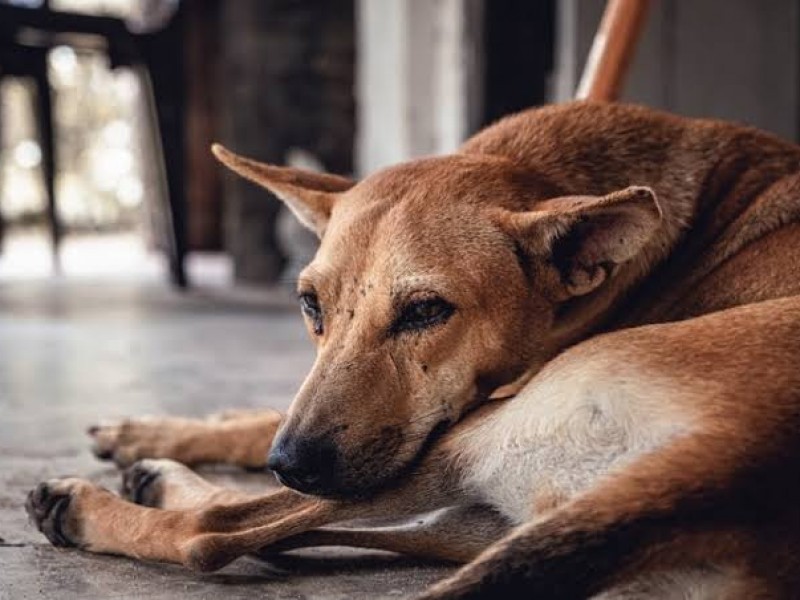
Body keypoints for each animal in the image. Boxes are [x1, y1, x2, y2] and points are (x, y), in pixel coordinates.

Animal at [25, 101, 800, 596]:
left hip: (466, 438)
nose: (292, 461)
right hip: (480, 515)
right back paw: (159, 472)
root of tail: (721, 475)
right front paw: (164, 428)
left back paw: (91, 506)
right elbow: (257, 425)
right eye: (310, 305)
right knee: (275, 529)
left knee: (215, 532)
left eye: (427, 311)